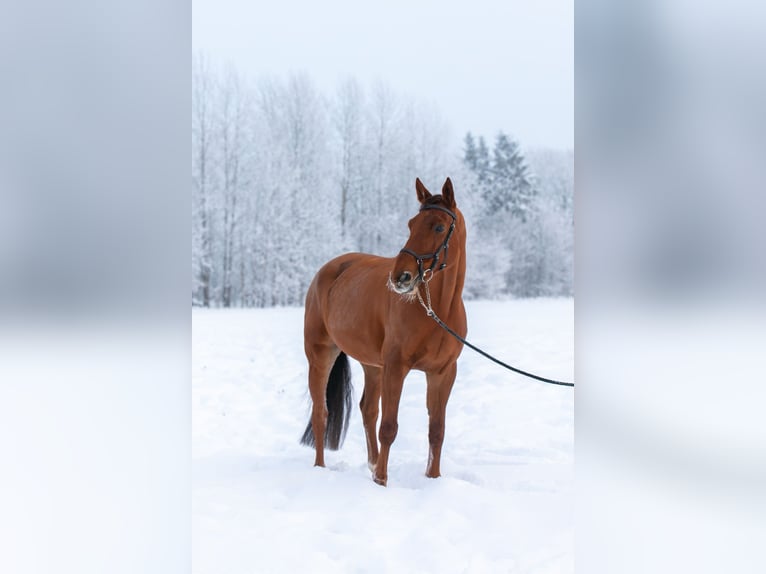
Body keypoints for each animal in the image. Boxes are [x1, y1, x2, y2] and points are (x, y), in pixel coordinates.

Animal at [300, 178, 468, 488]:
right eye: (411, 224)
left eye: (439, 227)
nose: (400, 277)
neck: (435, 310)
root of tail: (329, 270)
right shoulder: (396, 367)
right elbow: (389, 427)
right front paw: (381, 481)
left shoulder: (443, 373)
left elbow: (436, 430)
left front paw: (433, 478)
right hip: (321, 356)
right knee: (321, 414)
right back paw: (320, 468)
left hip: (373, 365)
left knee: (368, 409)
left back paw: (372, 462)